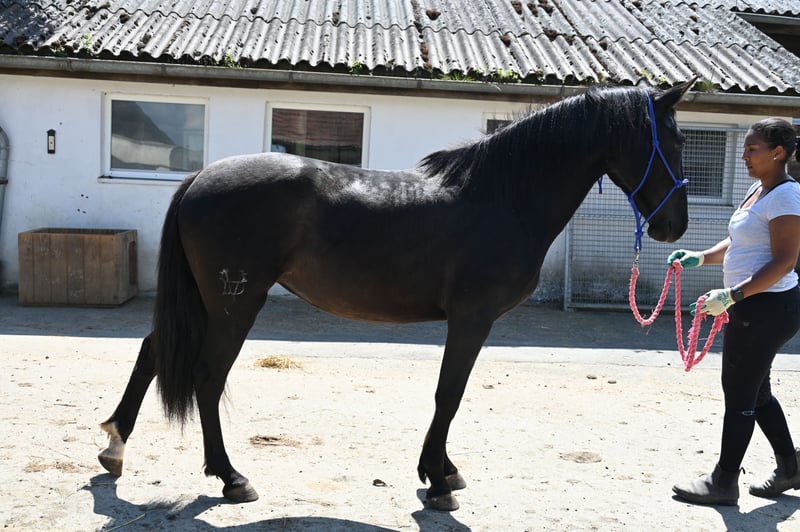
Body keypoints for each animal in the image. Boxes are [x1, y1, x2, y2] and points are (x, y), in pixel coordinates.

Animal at [98, 80, 693, 511]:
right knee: (206, 375)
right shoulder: (471, 319)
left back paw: (114, 448)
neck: (503, 197)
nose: (674, 227)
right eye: (675, 142)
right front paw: (439, 482)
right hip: (235, 302)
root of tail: (199, 177)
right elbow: (449, 395)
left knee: (153, 352)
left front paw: (443, 471)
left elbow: (448, 396)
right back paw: (231, 478)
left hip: (206, 302)